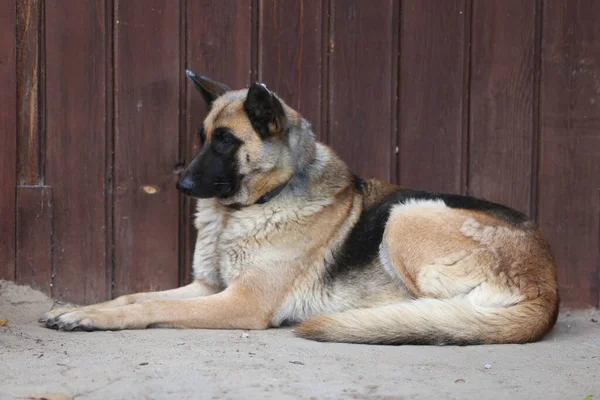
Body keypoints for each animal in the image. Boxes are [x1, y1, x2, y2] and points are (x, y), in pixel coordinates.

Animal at [39, 71, 560, 344]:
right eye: (203, 138)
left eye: (226, 142)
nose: (182, 184)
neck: (245, 209)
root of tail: (549, 287)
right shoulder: (207, 286)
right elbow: (132, 297)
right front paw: (81, 310)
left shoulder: (240, 302)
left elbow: (145, 307)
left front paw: (95, 318)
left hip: (407, 216)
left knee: (441, 310)